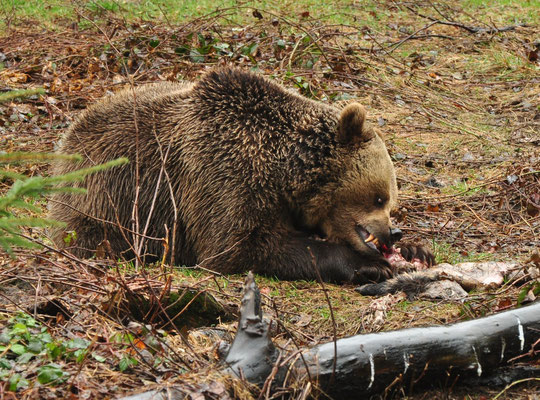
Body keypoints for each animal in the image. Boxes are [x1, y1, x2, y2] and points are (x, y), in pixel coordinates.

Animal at [49, 67, 430, 282]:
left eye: (391, 200)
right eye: (379, 197)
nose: (393, 232)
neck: (283, 173)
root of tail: (68, 134)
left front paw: (417, 251)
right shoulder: (224, 175)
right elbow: (238, 247)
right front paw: (368, 265)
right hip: (107, 199)